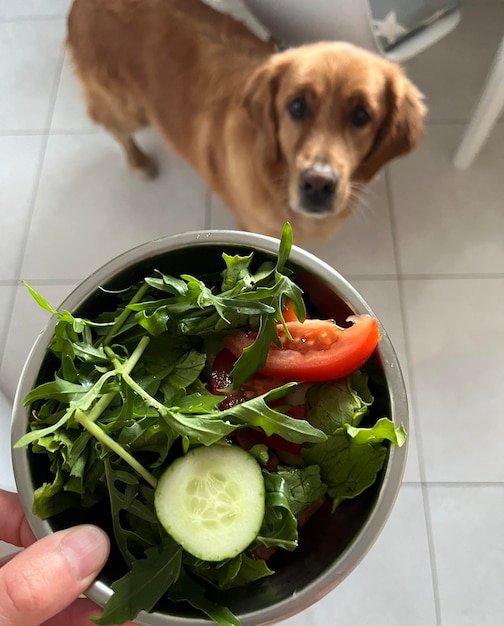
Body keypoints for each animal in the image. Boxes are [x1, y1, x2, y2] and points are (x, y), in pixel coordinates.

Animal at [66, 0, 426, 241]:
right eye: (297, 106)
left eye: (361, 115)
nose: (318, 184)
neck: (276, 175)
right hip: (127, 109)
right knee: (114, 127)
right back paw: (139, 161)